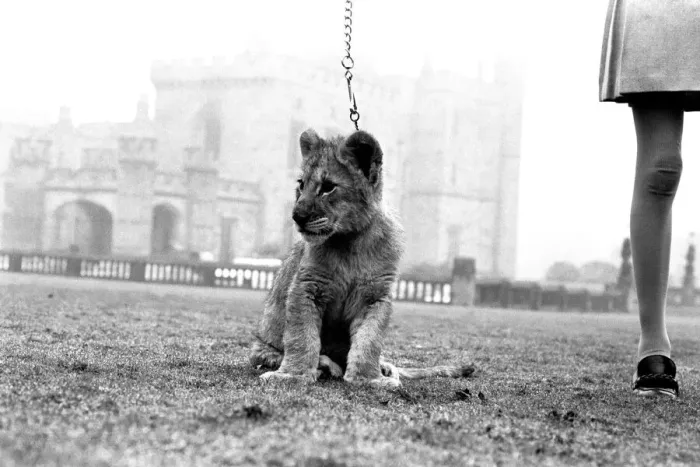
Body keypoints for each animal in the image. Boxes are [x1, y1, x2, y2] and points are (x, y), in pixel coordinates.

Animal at [249, 128, 474, 387]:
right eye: (301, 184)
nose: (297, 216)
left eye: (328, 187)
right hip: (261, 347)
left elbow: (370, 340)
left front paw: (369, 378)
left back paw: (383, 368)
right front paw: (292, 375)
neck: (351, 242)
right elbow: (301, 336)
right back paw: (326, 365)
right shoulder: (306, 287)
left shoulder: (375, 295)